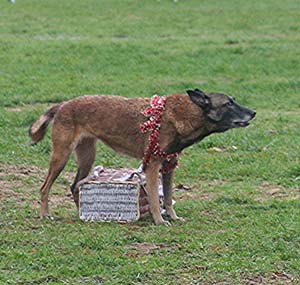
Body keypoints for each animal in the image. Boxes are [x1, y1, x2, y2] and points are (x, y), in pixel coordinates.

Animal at [28, 89, 255, 224]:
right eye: (228, 104)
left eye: (233, 101)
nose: (253, 113)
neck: (184, 114)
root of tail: (63, 105)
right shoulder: (152, 167)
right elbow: (155, 199)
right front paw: (160, 221)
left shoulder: (169, 167)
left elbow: (169, 198)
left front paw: (173, 217)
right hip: (61, 157)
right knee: (44, 188)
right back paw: (45, 215)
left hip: (86, 158)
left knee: (74, 186)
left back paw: (84, 213)